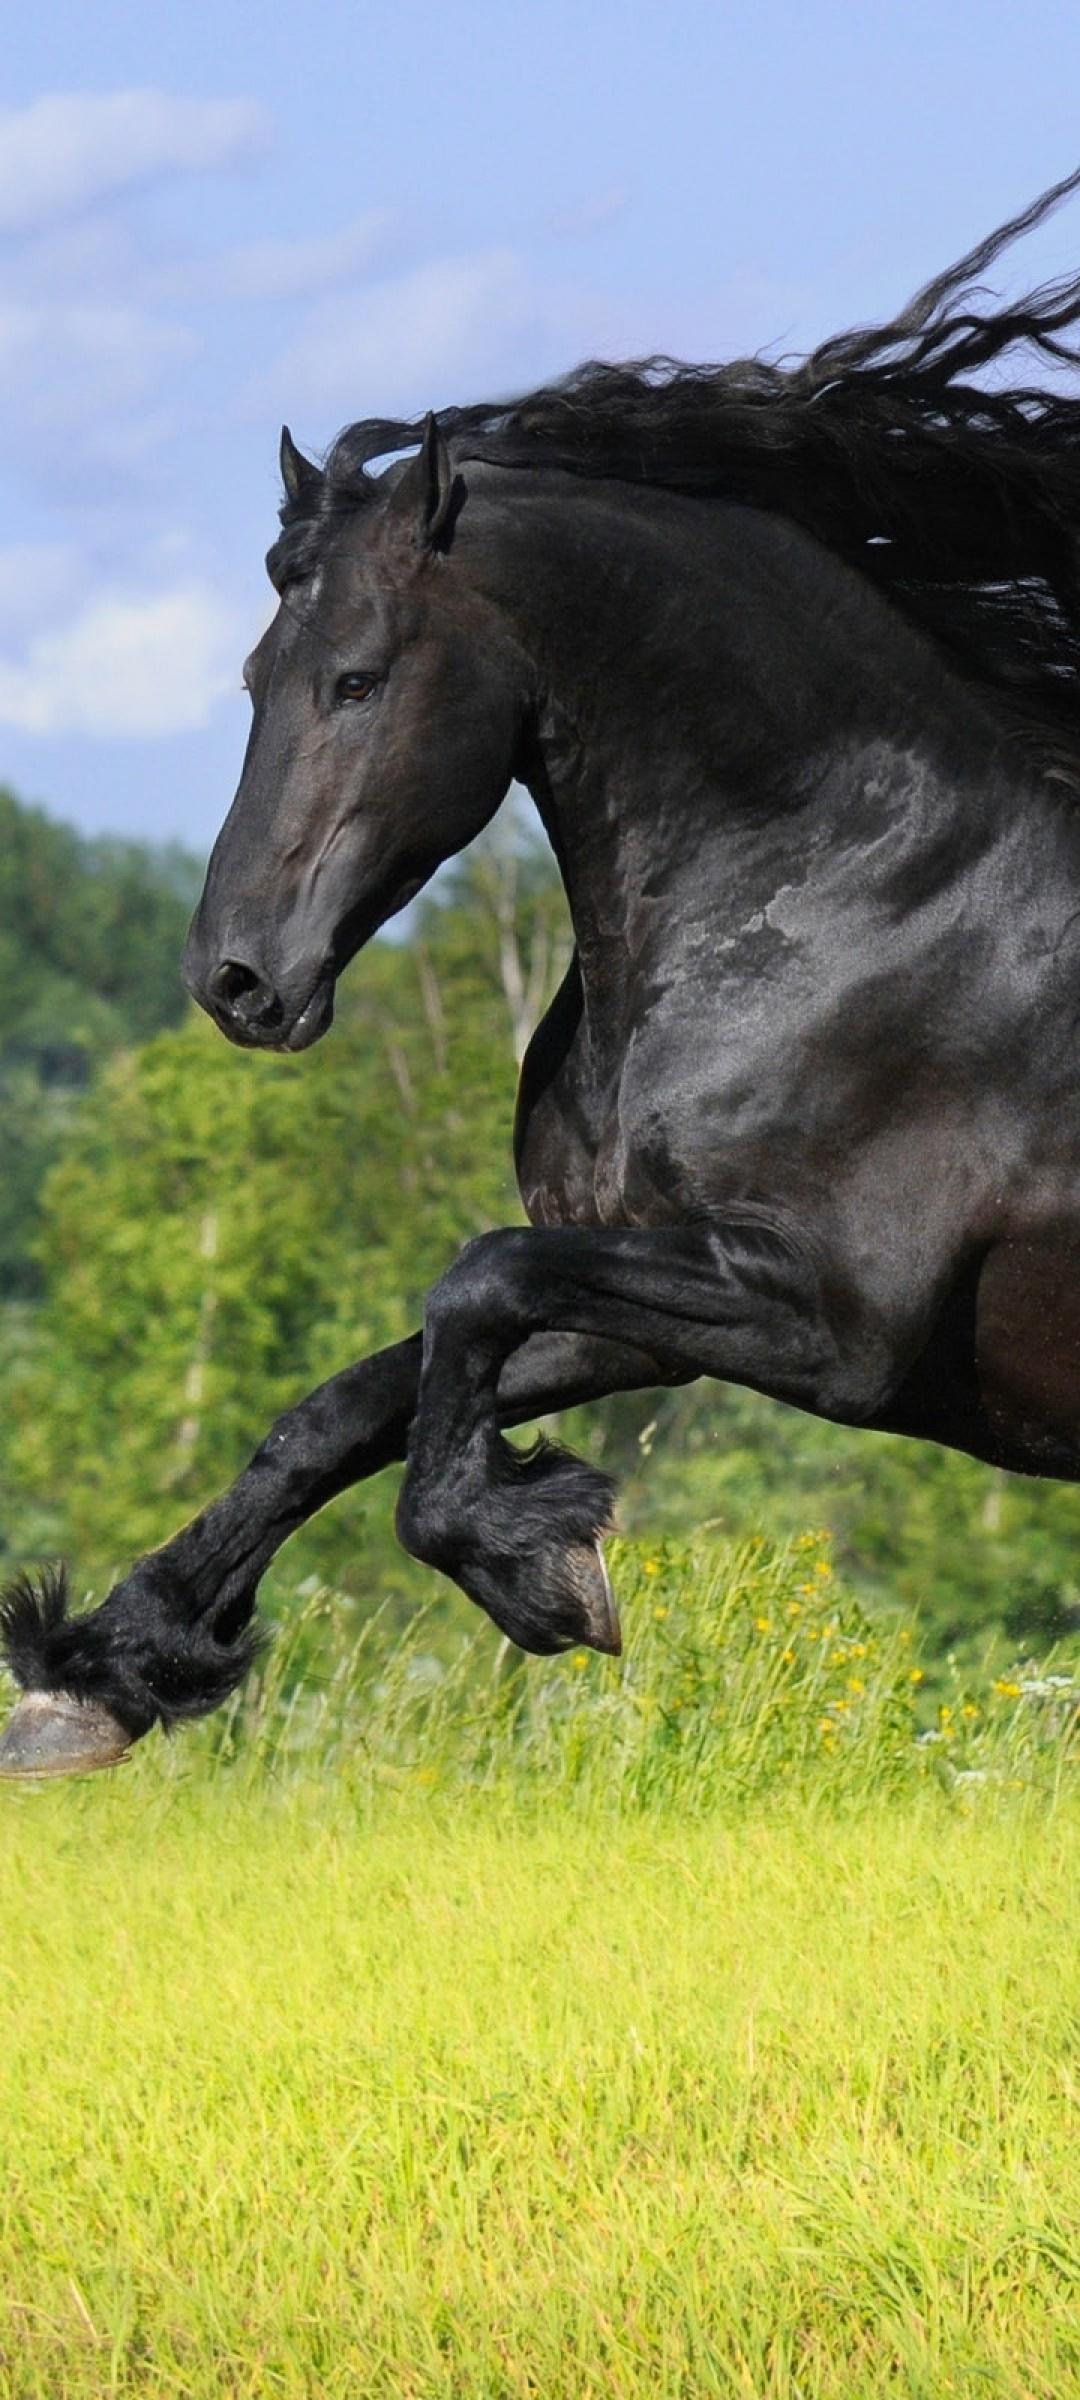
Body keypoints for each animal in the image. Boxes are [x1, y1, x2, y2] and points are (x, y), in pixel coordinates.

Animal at [6, 170, 1080, 1777]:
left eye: (358, 679)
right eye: (254, 678)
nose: (235, 979)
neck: (849, 899)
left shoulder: (831, 1319)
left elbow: (469, 1283)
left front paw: (537, 1568)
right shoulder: (665, 1300)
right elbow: (355, 1398)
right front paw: (102, 1669)